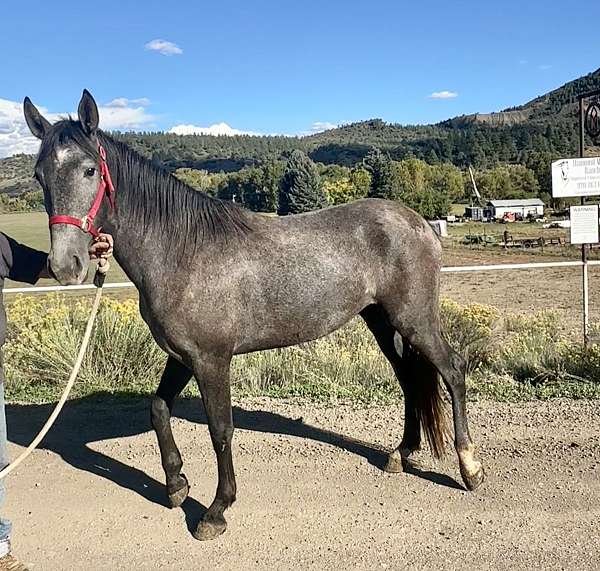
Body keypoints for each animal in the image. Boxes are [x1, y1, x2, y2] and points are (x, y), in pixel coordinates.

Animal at [23, 91, 486, 544]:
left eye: (89, 170)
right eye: (40, 175)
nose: (65, 266)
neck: (182, 251)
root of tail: (419, 222)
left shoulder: (212, 360)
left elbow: (220, 430)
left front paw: (216, 510)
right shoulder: (182, 356)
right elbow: (157, 409)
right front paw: (175, 485)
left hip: (414, 320)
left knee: (453, 371)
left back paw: (470, 469)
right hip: (381, 320)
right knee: (409, 379)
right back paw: (401, 454)